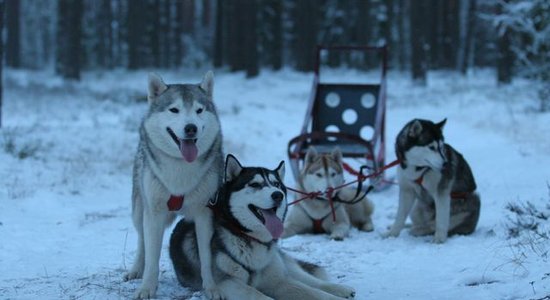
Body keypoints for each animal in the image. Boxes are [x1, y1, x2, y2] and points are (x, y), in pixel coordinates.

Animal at [124, 71, 224, 298]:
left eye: (199, 110)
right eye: (174, 110)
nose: (191, 128)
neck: (180, 170)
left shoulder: (204, 214)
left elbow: (206, 257)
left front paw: (211, 288)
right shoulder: (154, 214)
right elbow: (152, 257)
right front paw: (147, 288)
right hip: (139, 209)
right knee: (141, 241)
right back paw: (136, 269)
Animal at [169, 155, 358, 300]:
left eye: (277, 185)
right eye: (255, 184)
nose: (278, 195)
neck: (249, 237)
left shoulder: (278, 280)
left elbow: (312, 291)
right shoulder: (226, 283)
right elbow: (258, 295)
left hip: (283, 264)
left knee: (310, 280)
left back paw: (339, 288)